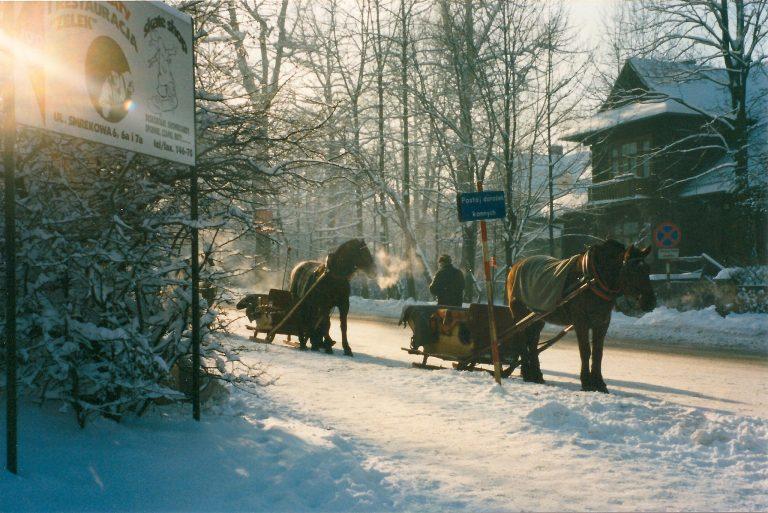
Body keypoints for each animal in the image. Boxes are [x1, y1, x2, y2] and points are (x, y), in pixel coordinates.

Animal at [506, 239, 656, 393]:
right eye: (633, 271)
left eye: (648, 269)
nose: (651, 302)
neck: (593, 279)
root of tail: (515, 266)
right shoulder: (581, 322)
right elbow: (585, 351)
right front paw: (587, 382)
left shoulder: (602, 323)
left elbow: (597, 353)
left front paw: (599, 383)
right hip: (519, 314)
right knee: (522, 340)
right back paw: (527, 372)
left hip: (538, 318)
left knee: (533, 342)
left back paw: (536, 375)